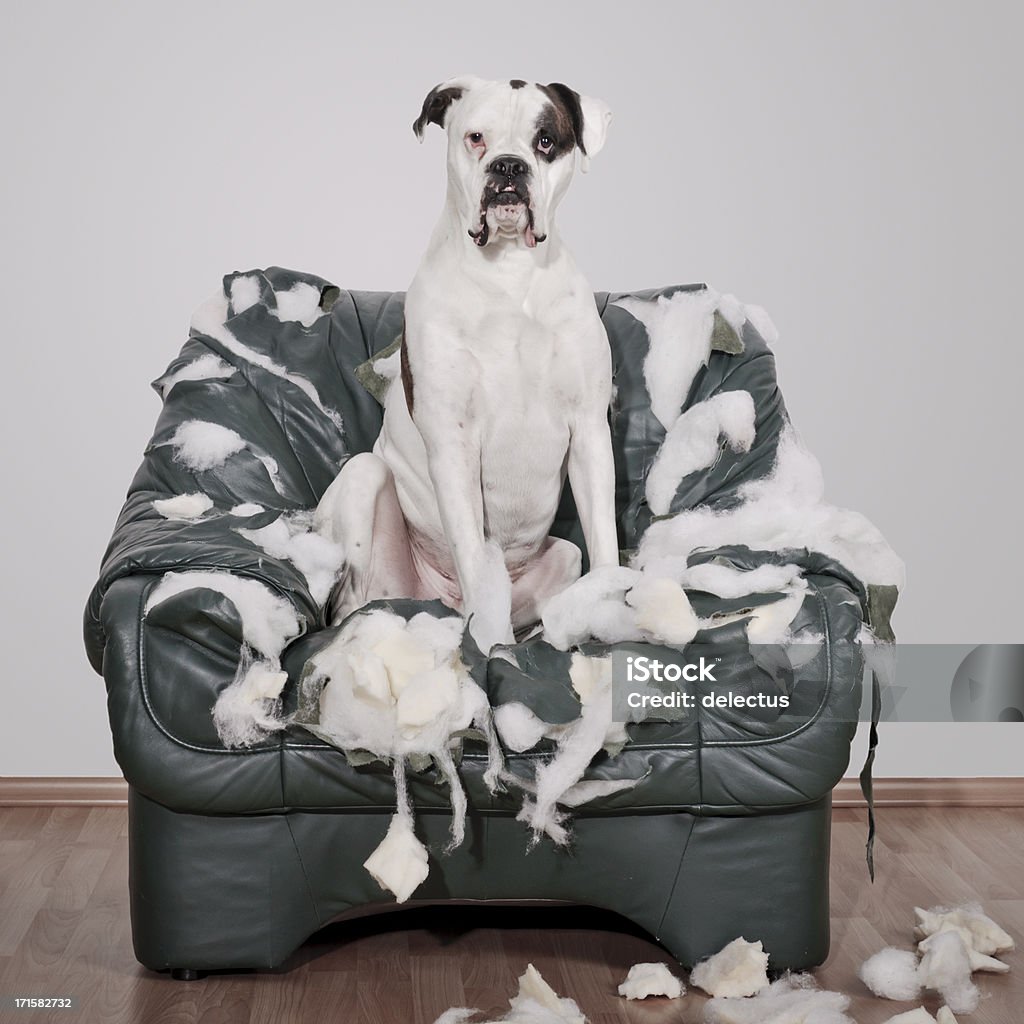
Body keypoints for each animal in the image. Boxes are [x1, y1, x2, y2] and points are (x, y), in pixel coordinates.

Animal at [315, 75, 614, 651]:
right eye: (476, 137)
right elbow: (477, 561)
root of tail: (439, 601)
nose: (509, 167)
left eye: (546, 141)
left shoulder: (589, 432)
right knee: (352, 602)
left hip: (564, 557)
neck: (509, 274)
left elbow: (606, 543)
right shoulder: (453, 444)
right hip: (364, 481)